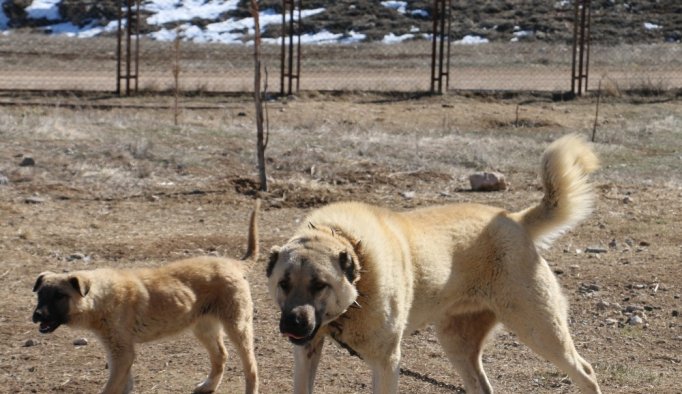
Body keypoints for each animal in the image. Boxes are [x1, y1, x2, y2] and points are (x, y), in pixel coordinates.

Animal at [31, 200, 262, 394]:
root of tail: (233, 263)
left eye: (59, 296)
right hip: (204, 327)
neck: (99, 298)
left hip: (237, 326)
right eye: (40, 294)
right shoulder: (118, 352)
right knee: (220, 356)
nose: (36, 315)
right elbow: (124, 386)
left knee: (250, 366)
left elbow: (111, 388)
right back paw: (207, 386)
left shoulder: (122, 353)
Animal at [266, 136, 600, 394]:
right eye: (283, 284)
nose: (292, 324)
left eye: (320, 285)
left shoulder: (385, 363)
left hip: (539, 329)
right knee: (482, 386)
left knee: (586, 371)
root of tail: (515, 219)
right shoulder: (307, 353)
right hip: (458, 343)